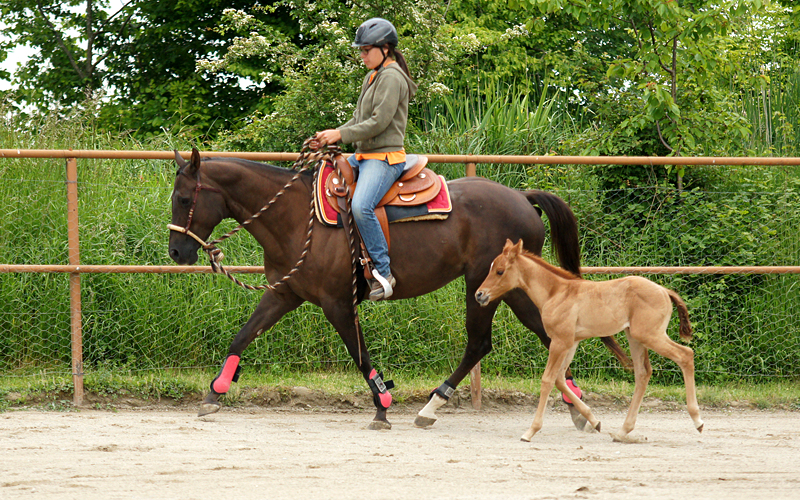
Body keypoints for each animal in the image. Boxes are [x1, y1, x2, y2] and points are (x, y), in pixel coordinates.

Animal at [169, 148, 628, 430]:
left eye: (185, 197)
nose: (176, 251)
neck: (298, 216)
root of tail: (521, 196)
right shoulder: (285, 293)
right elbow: (243, 335)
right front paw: (214, 393)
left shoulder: (337, 304)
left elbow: (360, 355)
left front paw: (382, 407)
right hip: (509, 290)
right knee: (542, 336)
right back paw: (577, 407)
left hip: (486, 287)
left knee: (481, 342)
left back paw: (432, 405)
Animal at [472, 240, 704, 444]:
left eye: (499, 271)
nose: (479, 295)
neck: (556, 292)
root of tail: (665, 291)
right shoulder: (571, 342)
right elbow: (559, 379)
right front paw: (594, 421)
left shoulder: (559, 342)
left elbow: (547, 380)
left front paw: (530, 431)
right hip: (636, 337)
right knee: (643, 373)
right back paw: (622, 432)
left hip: (650, 335)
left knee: (685, 355)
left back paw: (698, 420)